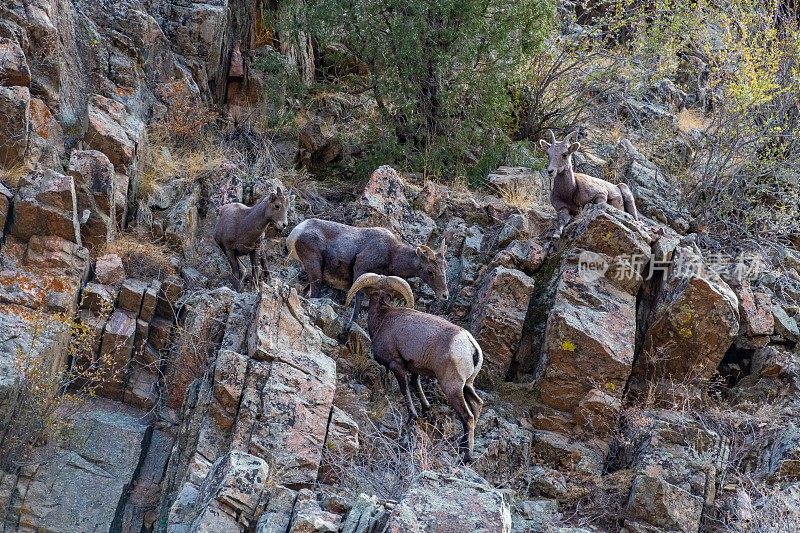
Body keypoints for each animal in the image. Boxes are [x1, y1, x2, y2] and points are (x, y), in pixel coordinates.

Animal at [288, 218, 450, 318]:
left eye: (445, 269)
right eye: (430, 271)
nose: (445, 295)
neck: (391, 253)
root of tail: (297, 231)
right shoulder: (361, 269)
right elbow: (358, 297)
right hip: (315, 269)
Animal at [346, 274, 484, 462]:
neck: (383, 318)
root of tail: (469, 344)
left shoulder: (397, 365)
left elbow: (405, 389)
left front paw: (412, 416)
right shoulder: (414, 369)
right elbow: (416, 385)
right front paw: (426, 410)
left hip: (452, 387)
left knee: (467, 417)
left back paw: (466, 456)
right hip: (467, 385)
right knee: (477, 406)